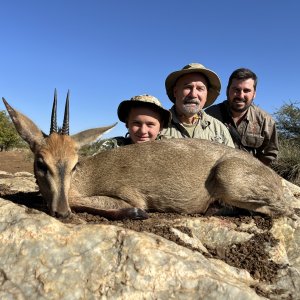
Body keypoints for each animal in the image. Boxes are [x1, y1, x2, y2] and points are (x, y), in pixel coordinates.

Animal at [1, 92, 292, 219]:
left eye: (75, 164)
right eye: (41, 163)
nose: (61, 212)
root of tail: (276, 180)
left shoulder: (128, 195)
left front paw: (136, 213)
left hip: (229, 179)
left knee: (280, 211)